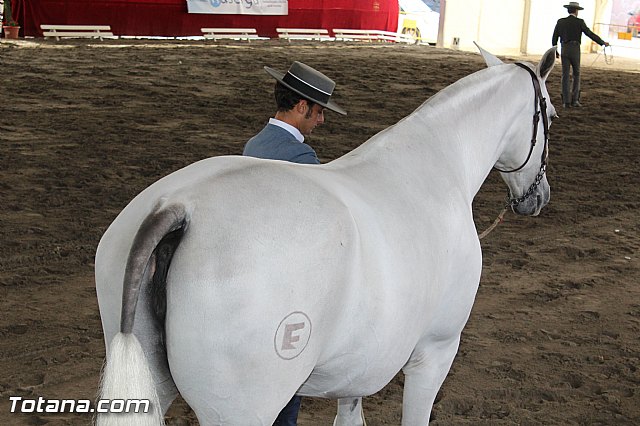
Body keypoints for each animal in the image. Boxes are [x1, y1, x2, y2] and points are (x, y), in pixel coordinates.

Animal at [95, 45, 557, 425]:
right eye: (551, 114)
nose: (538, 198)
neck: (438, 165)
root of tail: (176, 207)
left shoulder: (359, 367)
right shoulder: (435, 351)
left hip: (146, 387)